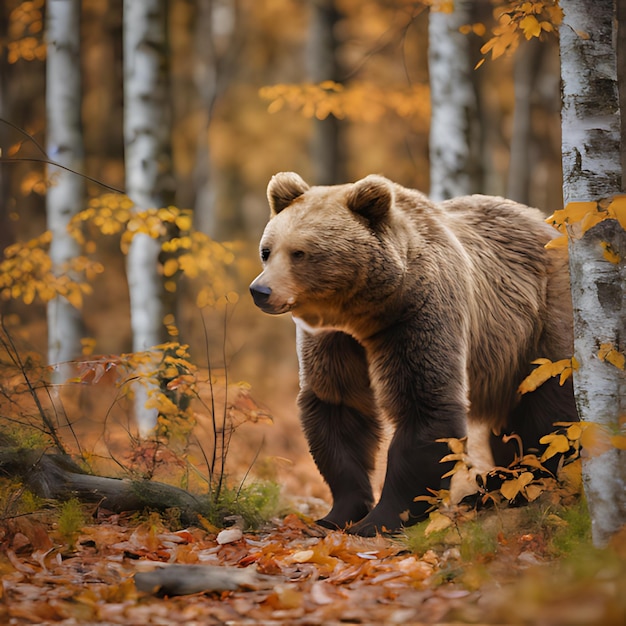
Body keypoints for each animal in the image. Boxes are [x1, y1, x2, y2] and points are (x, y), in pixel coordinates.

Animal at [247, 173, 576, 532]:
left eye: (299, 253)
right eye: (267, 250)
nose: (260, 290)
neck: (365, 312)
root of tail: (549, 225)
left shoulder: (419, 313)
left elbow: (424, 404)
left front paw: (381, 519)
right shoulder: (333, 338)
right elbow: (338, 405)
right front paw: (338, 513)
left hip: (544, 321)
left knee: (547, 411)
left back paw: (511, 486)